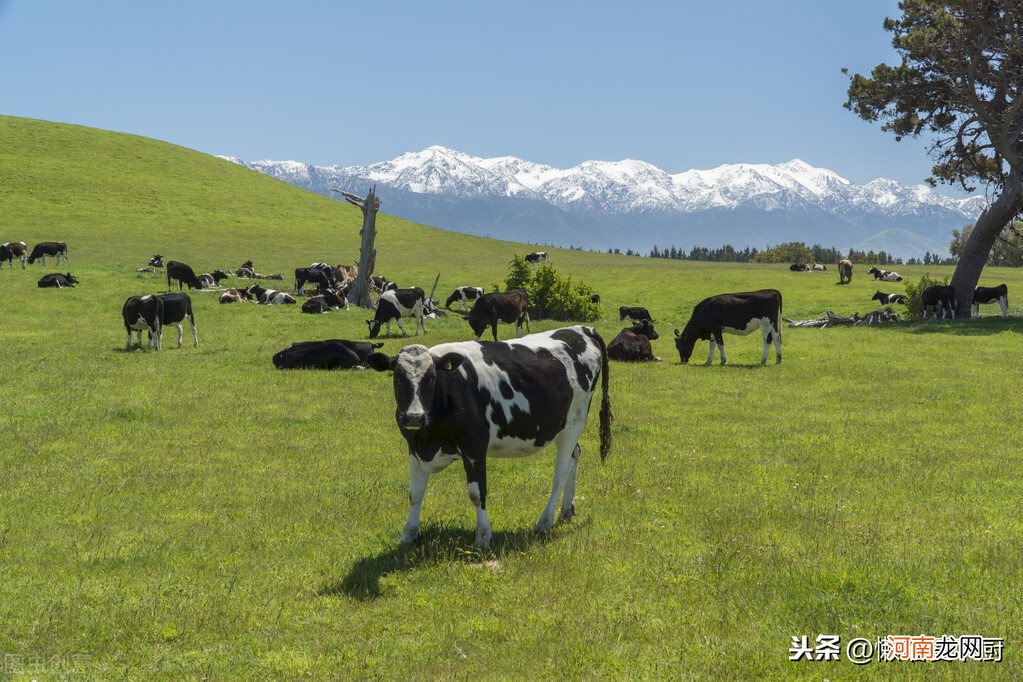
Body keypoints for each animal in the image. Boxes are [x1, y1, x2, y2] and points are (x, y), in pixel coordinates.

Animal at [366, 327, 609, 548]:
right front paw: (409, 534)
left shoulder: (474, 447)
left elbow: (476, 493)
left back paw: (544, 522)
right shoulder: (414, 448)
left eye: (431, 378)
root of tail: (581, 329)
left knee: (560, 473)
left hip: (574, 422)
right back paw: (566, 511)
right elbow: (415, 493)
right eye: (398, 377)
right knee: (575, 455)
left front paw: (483, 537)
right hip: (563, 428)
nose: (414, 417)